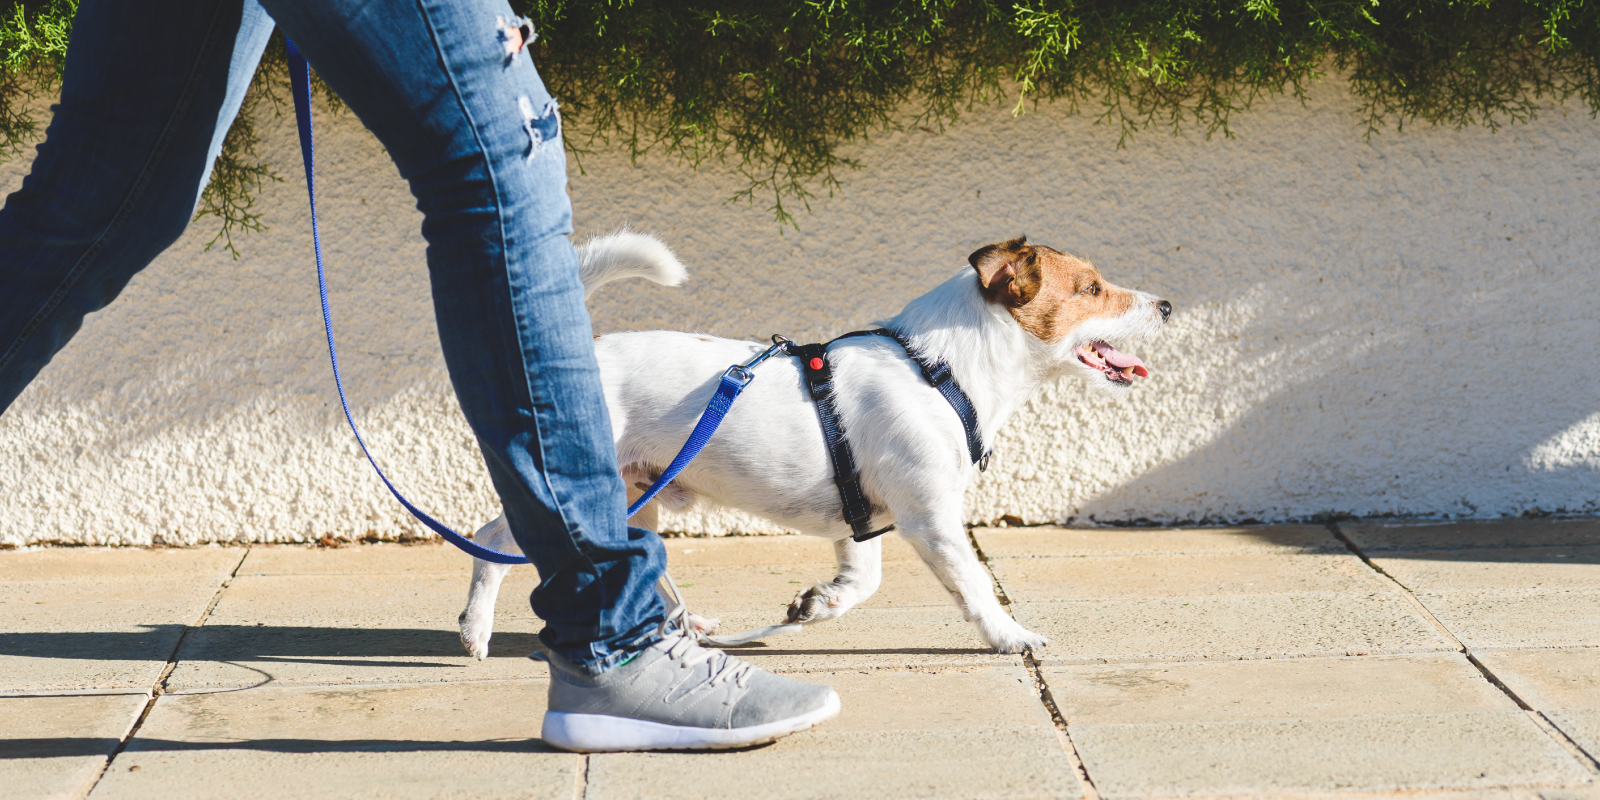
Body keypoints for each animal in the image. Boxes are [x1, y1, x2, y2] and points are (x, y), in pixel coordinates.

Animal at [457, 232, 1171, 656]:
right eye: (1093, 289)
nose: (1166, 306)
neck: (941, 369)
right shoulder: (931, 518)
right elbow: (973, 586)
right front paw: (1010, 635)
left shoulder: (865, 520)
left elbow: (861, 583)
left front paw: (816, 604)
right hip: (578, 492)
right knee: (492, 542)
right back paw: (476, 630)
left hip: (637, 496)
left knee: (643, 565)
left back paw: (686, 628)